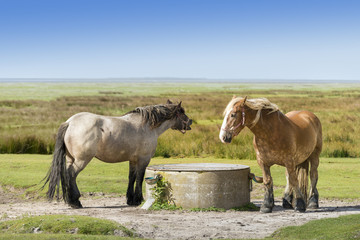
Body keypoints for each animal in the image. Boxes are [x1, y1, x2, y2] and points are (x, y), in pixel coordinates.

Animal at [42, 99, 191, 208]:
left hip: (70, 159)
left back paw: (70, 200)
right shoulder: (143, 160)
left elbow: (132, 177)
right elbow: (140, 178)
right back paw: (75, 201)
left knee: (67, 174)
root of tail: (69, 122)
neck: (147, 126)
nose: (190, 122)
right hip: (81, 160)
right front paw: (138, 199)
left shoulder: (133, 160)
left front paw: (130, 200)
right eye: (182, 112)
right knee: (71, 175)